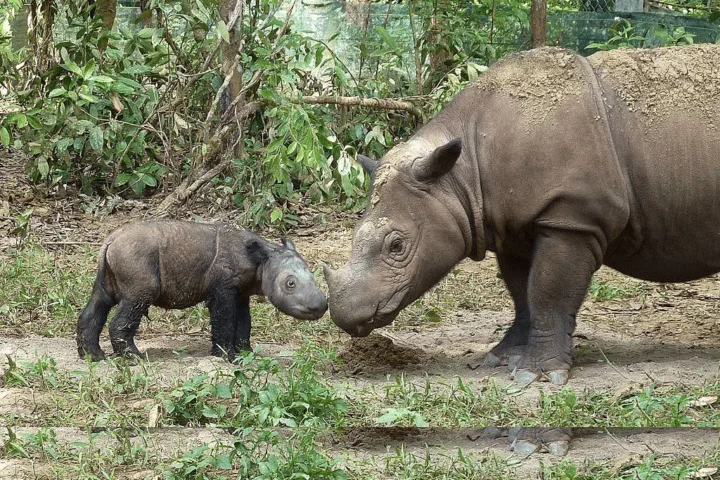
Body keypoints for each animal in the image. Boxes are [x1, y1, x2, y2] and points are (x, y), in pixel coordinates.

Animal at [77, 220, 327, 361]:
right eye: (290, 284)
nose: (321, 306)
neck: (262, 260)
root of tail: (110, 240)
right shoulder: (223, 289)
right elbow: (224, 319)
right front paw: (227, 357)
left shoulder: (240, 292)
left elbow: (244, 322)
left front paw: (246, 353)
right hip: (134, 258)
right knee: (136, 300)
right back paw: (134, 358)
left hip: (114, 261)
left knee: (100, 300)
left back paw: (93, 357)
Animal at [324, 44, 720, 388]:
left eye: (396, 246)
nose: (344, 316)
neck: (460, 176)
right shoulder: (511, 226)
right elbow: (521, 292)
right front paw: (503, 357)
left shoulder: (572, 217)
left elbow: (548, 289)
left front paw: (539, 375)